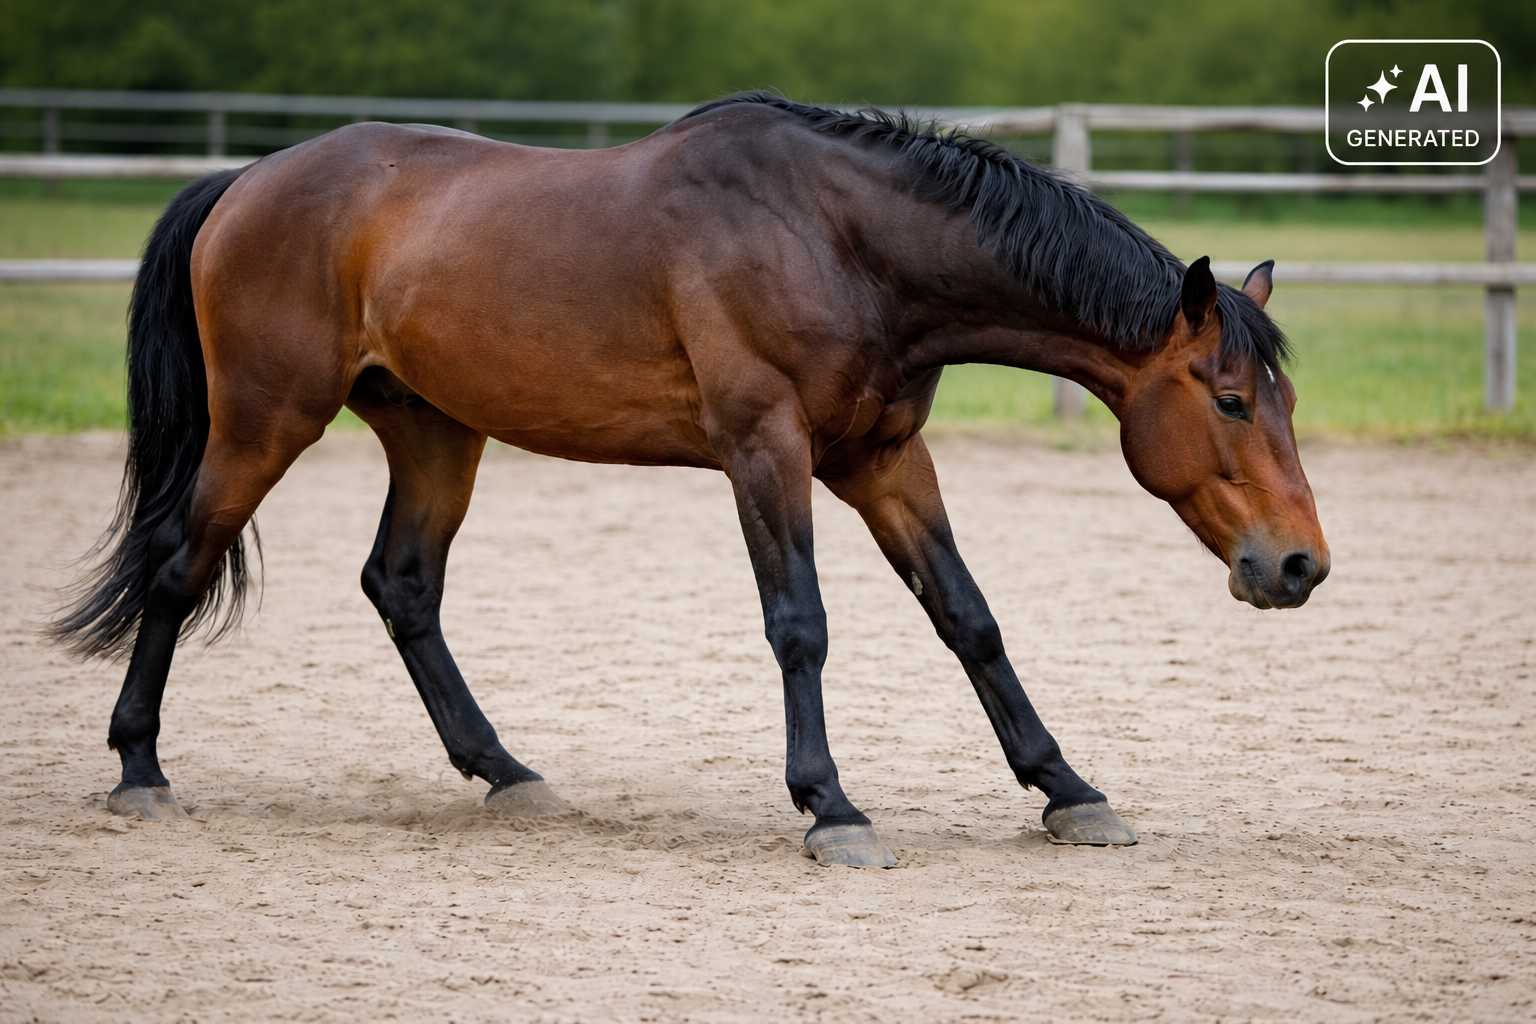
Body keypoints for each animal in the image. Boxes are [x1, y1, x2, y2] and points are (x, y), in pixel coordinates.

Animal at [52, 93, 1328, 867]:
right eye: (1228, 399)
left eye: (1286, 400)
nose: (1298, 564)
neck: (838, 238)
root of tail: (247, 180)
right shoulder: (766, 448)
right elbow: (800, 623)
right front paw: (831, 807)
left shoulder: (882, 458)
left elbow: (968, 616)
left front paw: (1067, 787)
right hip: (266, 421)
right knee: (180, 565)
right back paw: (141, 770)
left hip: (434, 434)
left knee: (402, 586)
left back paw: (506, 772)